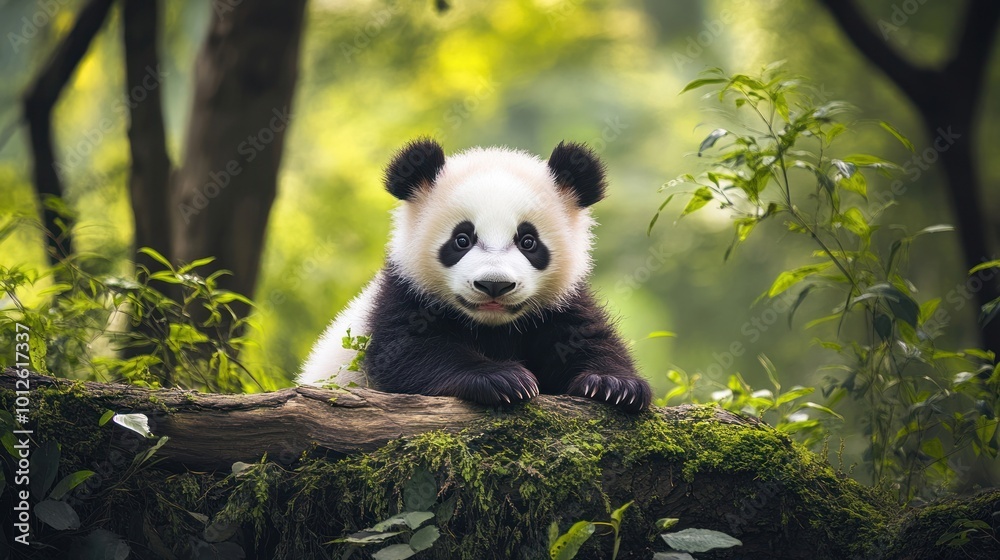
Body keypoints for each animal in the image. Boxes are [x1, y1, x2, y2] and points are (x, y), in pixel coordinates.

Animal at [298, 139, 651, 413]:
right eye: (462, 240)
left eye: (528, 241)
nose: (494, 284)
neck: (491, 326)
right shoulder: (402, 294)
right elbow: (408, 353)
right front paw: (504, 379)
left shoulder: (560, 303)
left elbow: (589, 339)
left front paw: (614, 385)